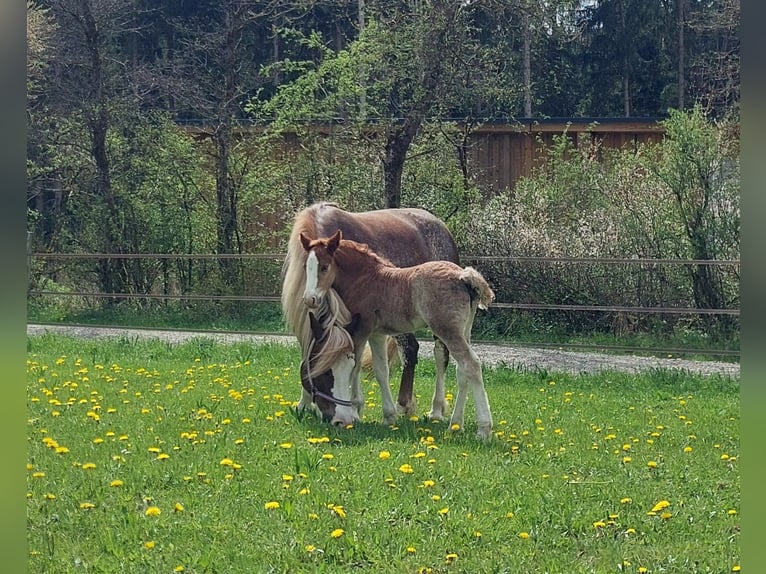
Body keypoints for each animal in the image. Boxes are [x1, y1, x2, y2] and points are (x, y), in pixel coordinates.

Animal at [281, 201, 459, 418]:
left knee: (440, 353)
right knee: (410, 349)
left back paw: (435, 409)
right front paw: (304, 404)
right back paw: (404, 405)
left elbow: (356, 363)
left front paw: (355, 407)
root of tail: (442, 227)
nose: (331, 415)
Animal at [300, 229, 495, 439]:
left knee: (471, 365)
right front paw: (388, 417)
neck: (365, 279)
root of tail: (463, 276)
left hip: (448, 331)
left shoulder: (361, 331)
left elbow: (355, 368)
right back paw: (455, 425)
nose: (310, 299)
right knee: (462, 371)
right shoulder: (377, 334)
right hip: (464, 331)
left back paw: (483, 429)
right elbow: (381, 370)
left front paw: (354, 412)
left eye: (324, 267)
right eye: (305, 267)